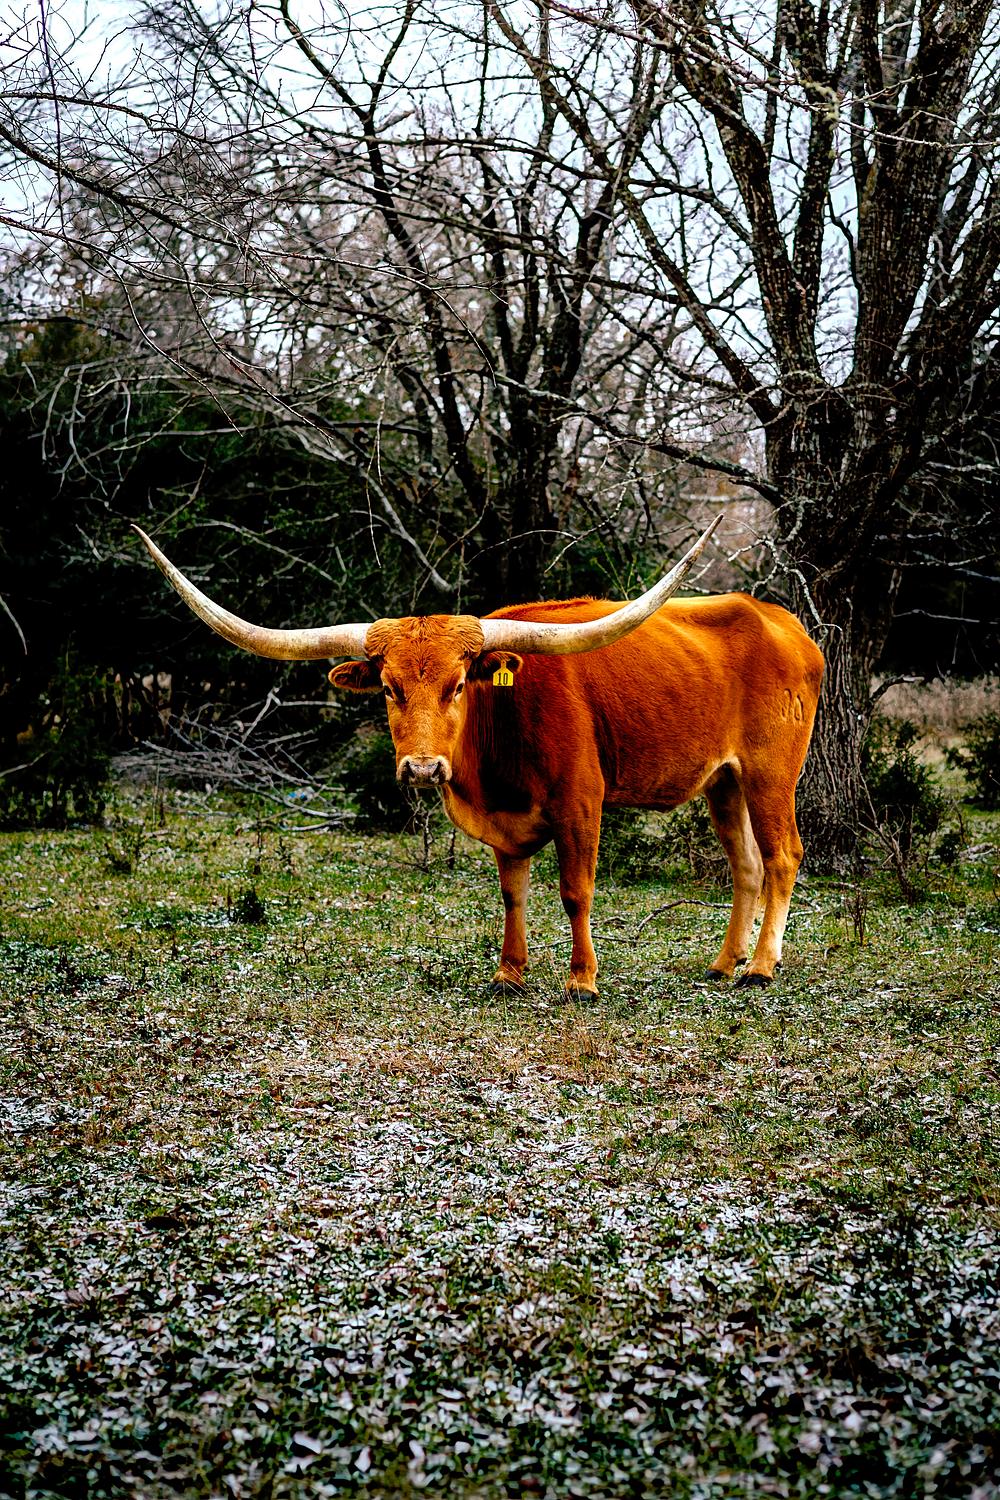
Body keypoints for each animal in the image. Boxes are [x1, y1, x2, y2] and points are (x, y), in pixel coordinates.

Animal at [134, 521, 824, 999]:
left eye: (459, 684)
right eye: (389, 688)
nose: (420, 770)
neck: (501, 736)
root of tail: (784, 623)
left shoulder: (581, 803)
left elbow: (575, 891)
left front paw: (582, 980)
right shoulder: (506, 822)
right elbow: (512, 893)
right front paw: (509, 973)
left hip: (771, 773)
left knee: (783, 856)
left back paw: (761, 967)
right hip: (724, 781)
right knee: (746, 866)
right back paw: (726, 962)